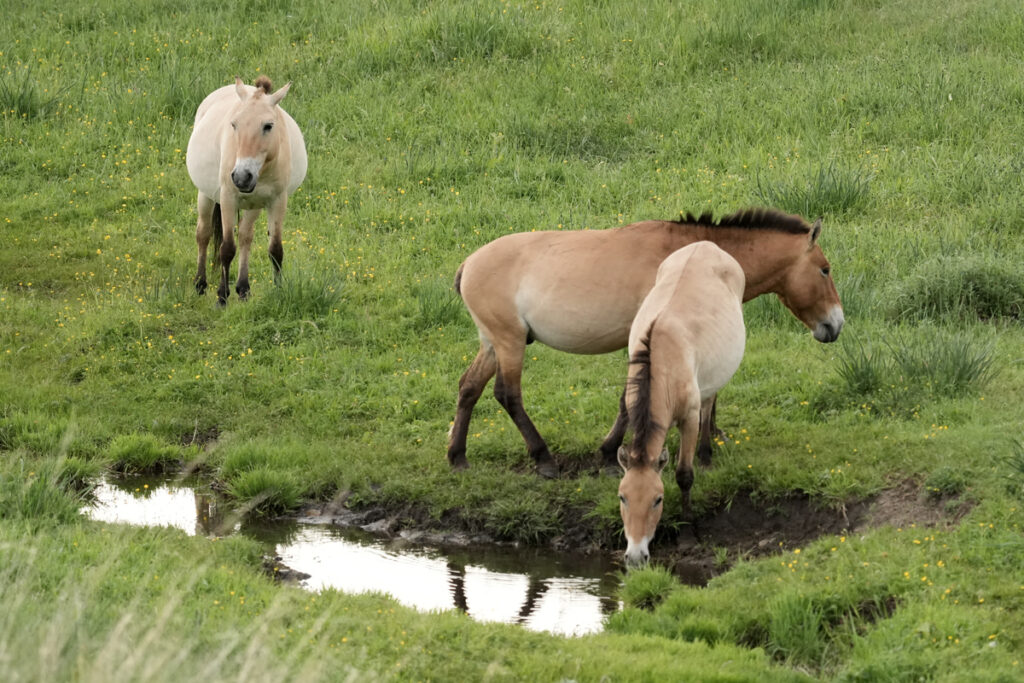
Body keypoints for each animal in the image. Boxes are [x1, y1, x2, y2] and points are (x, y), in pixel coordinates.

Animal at [452, 206, 843, 475]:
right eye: (824, 269)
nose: (836, 324)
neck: (695, 255)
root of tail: (468, 264)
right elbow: (628, 401)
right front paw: (609, 453)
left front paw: (713, 434)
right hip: (510, 342)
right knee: (508, 395)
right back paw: (543, 458)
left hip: (493, 343)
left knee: (469, 387)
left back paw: (457, 456)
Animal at [614, 240, 745, 565]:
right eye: (623, 497)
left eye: (657, 500)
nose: (636, 556)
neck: (662, 361)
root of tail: (706, 244)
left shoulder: (688, 417)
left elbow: (684, 475)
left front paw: (687, 535)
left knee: (709, 402)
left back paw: (706, 451)